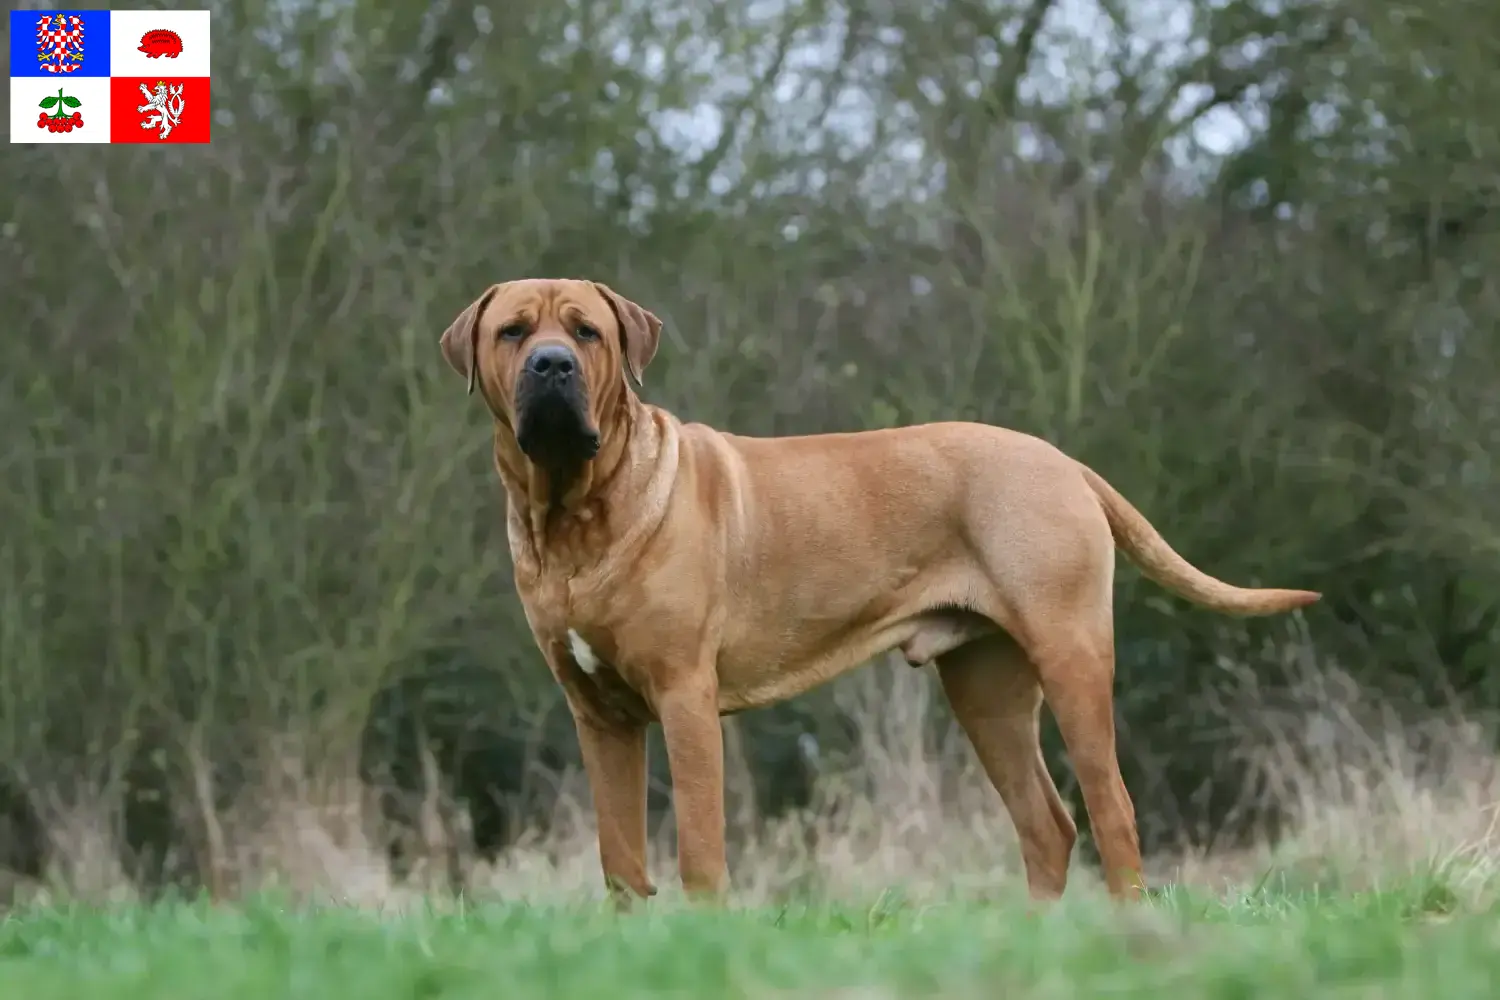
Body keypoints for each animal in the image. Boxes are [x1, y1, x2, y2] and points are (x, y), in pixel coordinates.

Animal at [438, 277, 1320, 905]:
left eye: (585, 331)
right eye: (513, 330)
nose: (552, 366)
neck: (575, 513)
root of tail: (1064, 463)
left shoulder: (684, 696)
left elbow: (698, 849)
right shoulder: (600, 716)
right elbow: (620, 857)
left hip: (1070, 654)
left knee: (1112, 810)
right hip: (987, 689)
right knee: (1047, 825)